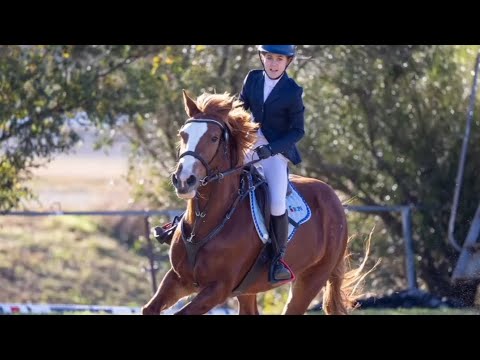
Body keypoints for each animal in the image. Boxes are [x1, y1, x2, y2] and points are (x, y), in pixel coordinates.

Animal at [141, 90, 366, 316]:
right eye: (183, 135)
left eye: (214, 138)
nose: (184, 180)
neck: (205, 221)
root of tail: (335, 199)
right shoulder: (179, 279)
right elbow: (149, 308)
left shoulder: (219, 288)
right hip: (247, 289)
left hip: (312, 279)